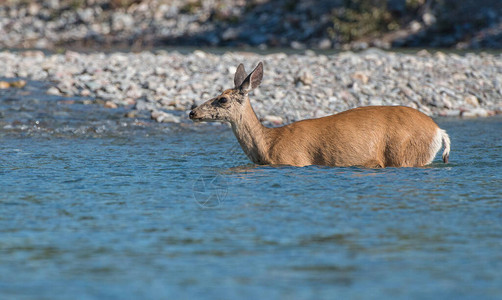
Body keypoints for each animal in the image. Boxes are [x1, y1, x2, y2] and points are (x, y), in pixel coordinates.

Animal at [188, 61, 452, 168]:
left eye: (222, 99)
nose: (192, 112)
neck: (268, 144)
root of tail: (439, 131)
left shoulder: (293, 160)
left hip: (406, 155)